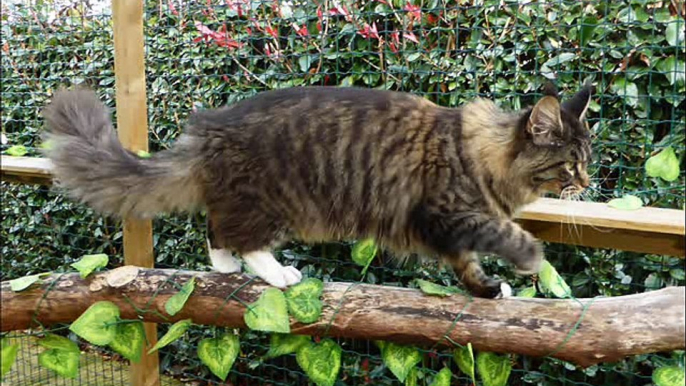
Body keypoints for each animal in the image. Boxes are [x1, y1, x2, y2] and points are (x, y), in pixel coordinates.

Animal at [41, 83, 596, 298]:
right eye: (572, 164)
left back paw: (225, 269)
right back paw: (278, 274)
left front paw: (487, 289)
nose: (589, 183)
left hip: (243, 198)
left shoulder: (452, 232)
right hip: (274, 200)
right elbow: (508, 235)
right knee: (243, 237)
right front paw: (531, 261)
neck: (480, 152)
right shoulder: (447, 213)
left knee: (216, 230)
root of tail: (208, 128)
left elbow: (468, 266)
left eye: (586, 161)